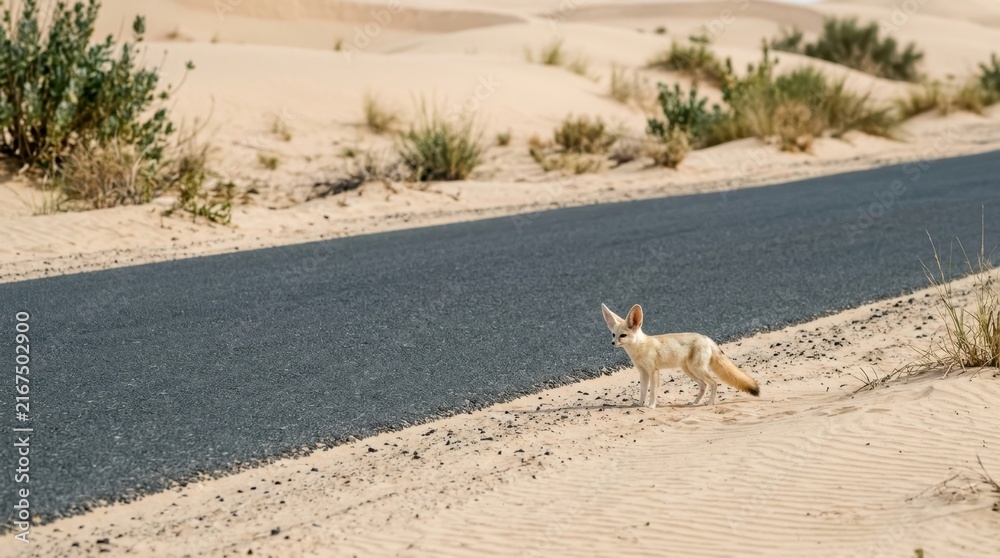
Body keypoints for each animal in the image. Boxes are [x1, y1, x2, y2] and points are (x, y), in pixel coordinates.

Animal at [601, 303, 759, 408]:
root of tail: (707, 338)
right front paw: (639, 404)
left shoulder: (653, 371)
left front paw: (651, 405)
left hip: (697, 369)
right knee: (704, 385)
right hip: (689, 370)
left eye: (622, 336)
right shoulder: (643, 372)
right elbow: (643, 391)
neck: (641, 348)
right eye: (613, 334)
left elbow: (652, 391)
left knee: (714, 383)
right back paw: (695, 402)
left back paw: (709, 403)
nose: (612, 343)